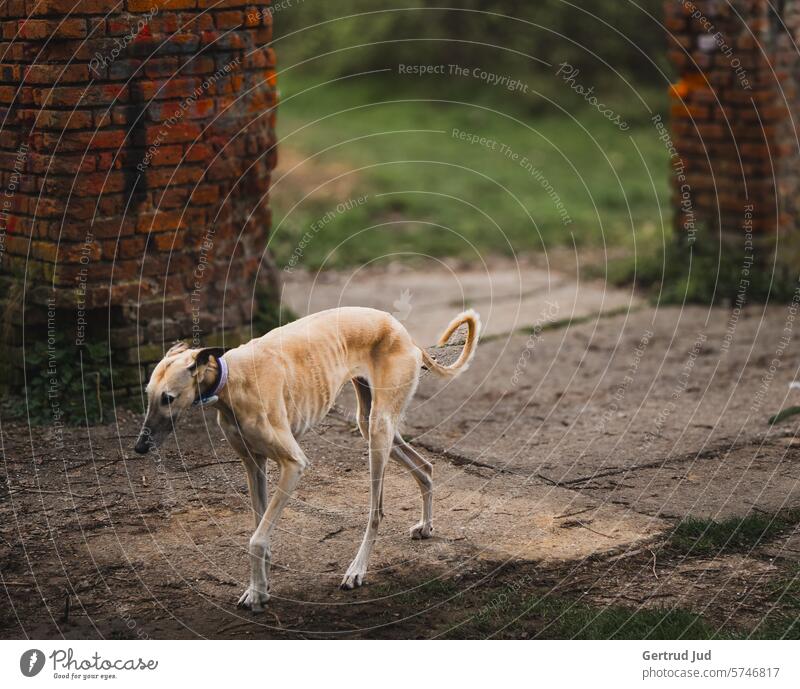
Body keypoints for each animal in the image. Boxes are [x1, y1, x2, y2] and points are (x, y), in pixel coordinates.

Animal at [136, 304, 482, 612]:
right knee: (425, 466)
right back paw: (426, 525)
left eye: (168, 398)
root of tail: (404, 333)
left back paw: (357, 569)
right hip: (370, 421)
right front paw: (258, 588)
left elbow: (256, 540)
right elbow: (259, 528)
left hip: (379, 430)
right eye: (148, 394)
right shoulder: (253, 463)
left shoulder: (294, 464)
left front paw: (258, 592)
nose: (139, 447)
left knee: (377, 512)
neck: (231, 378)